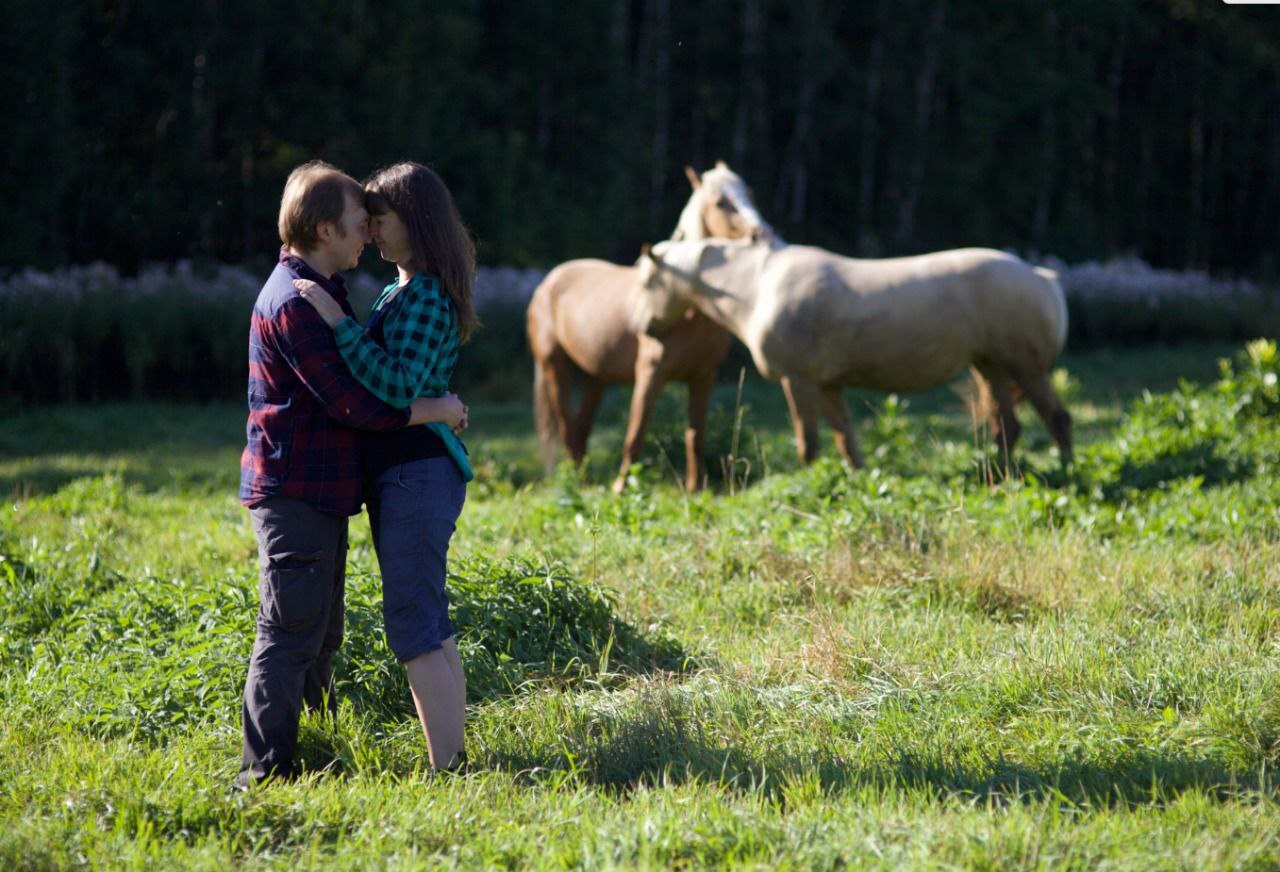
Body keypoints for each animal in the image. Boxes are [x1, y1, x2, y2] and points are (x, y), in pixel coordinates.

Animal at [524, 161, 773, 489]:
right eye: (721, 202)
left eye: (751, 194)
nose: (761, 233)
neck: (687, 311)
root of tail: (547, 283)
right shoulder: (650, 374)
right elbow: (635, 435)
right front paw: (620, 489)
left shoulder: (704, 377)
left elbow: (695, 436)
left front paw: (694, 489)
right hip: (555, 366)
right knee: (566, 426)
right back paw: (578, 484)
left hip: (596, 376)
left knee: (580, 427)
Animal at [637, 238, 1070, 468]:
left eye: (646, 282)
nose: (646, 329)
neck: (759, 287)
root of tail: (1043, 277)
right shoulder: (829, 387)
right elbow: (848, 443)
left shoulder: (799, 382)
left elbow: (808, 443)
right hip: (990, 367)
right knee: (1007, 426)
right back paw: (998, 473)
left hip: (1027, 370)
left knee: (1058, 419)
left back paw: (1064, 473)